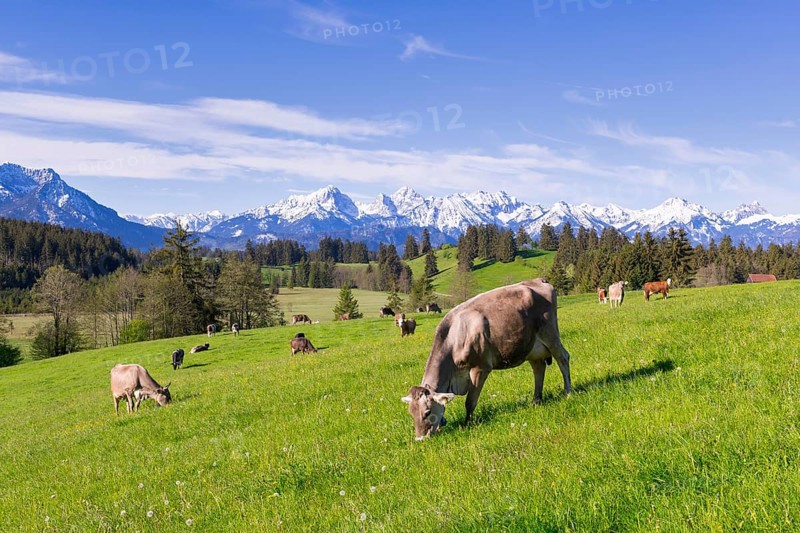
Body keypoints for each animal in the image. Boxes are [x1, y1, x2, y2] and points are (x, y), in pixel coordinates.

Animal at [401, 279, 572, 441]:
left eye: (427, 412)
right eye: (411, 413)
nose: (419, 439)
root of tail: (539, 280)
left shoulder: (480, 368)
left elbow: (470, 402)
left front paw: (467, 424)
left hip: (550, 333)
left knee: (563, 358)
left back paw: (568, 392)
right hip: (531, 346)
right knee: (538, 368)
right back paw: (536, 400)